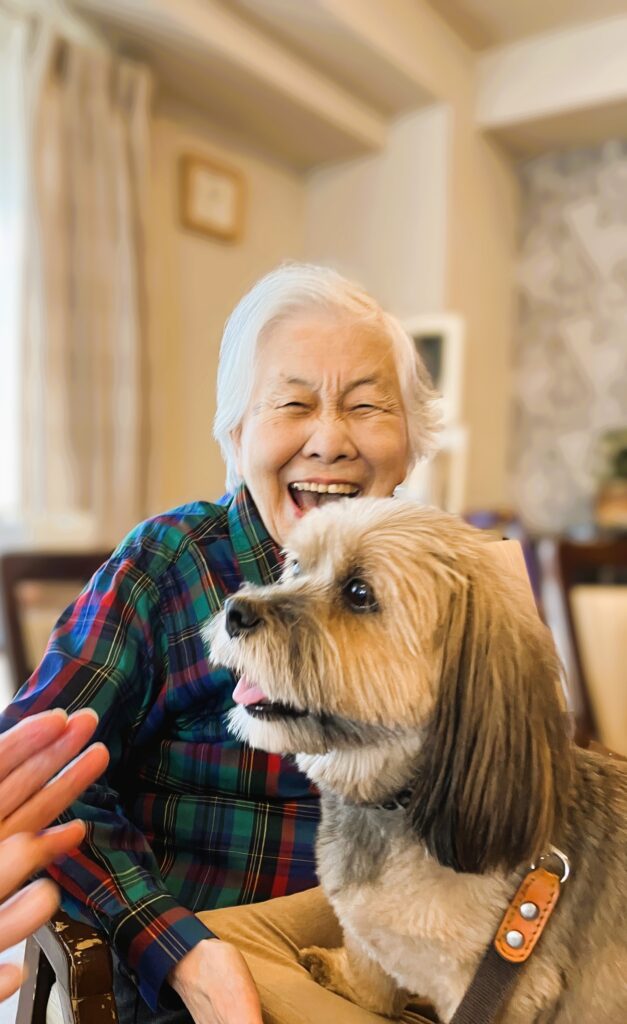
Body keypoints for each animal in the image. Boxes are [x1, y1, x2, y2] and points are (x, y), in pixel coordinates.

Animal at [206, 499, 627, 1019]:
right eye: (297, 567)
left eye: (359, 593)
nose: (235, 611)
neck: (403, 801)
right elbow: (370, 972)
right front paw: (350, 979)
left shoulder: (502, 989)